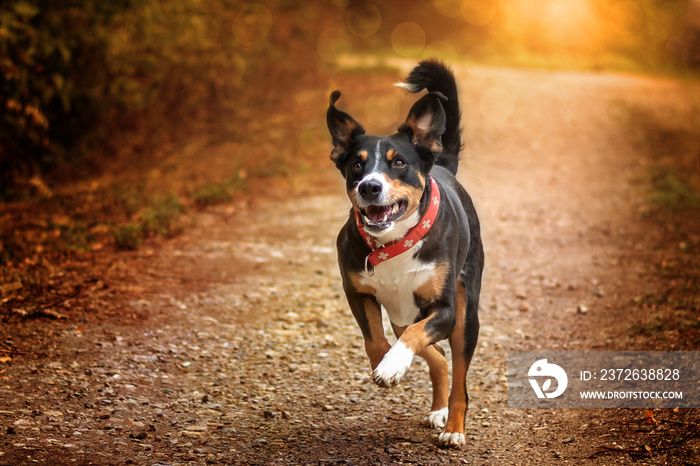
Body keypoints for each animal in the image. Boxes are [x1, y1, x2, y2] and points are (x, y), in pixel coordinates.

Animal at [326, 60, 482, 446]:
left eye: (398, 163)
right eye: (356, 165)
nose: (369, 186)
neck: (394, 243)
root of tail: (440, 163)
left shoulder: (444, 311)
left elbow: (415, 337)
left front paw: (392, 365)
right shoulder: (357, 292)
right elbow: (374, 340)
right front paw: (387, 363)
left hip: (465, 316)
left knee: (459, 378)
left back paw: (453, 428)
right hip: (402, 312)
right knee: (438, 358)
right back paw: (438, 410)